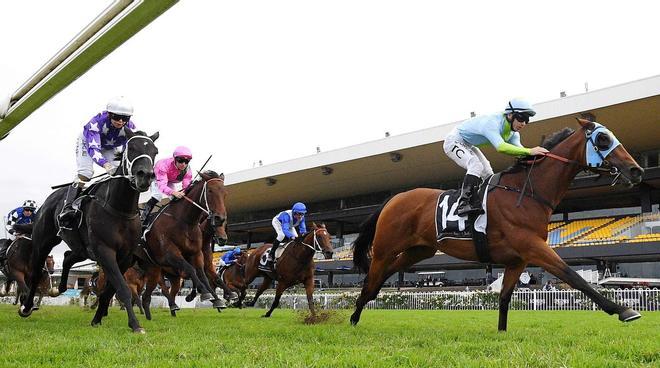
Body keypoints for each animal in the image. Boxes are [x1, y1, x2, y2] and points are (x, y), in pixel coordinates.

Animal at [19, 130, 159, 334]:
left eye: (155, 151)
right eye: (132, 148)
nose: (145, 176)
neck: (120, 209)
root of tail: (48, 201)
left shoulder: (124, 257)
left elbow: (110, 291)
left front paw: (97, 319)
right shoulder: (104, 250)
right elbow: (122, 288)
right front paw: (135, 325)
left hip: (83, 249)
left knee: (68, 257)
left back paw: (58, 288)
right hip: (43, 242)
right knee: (37, 273)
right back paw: (27, 307)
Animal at [141, 170, 228, 316]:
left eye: (225, 192)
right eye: (210, 191)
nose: (219, 218)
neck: (185, 222)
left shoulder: (197, 254)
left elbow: (204, 275)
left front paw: (217, 300)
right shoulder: (170, 254)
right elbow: (191, 269)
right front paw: (204, 294)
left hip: (168, 274)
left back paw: (172, 308)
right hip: (157, 270)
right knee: (163, 288)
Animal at [350, 119, 644, 332]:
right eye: (603, 139)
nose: (636, 170)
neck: (527, 193)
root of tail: (392, 199)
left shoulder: (518, 260)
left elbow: (504, 297)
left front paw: (501, 334)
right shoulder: (534, 248)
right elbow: (574, 277)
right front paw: (624, 311)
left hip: (418, 250)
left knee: (385, 275)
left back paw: (360, 309)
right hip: (385, 248)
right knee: (372, 278)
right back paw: (353, 318)